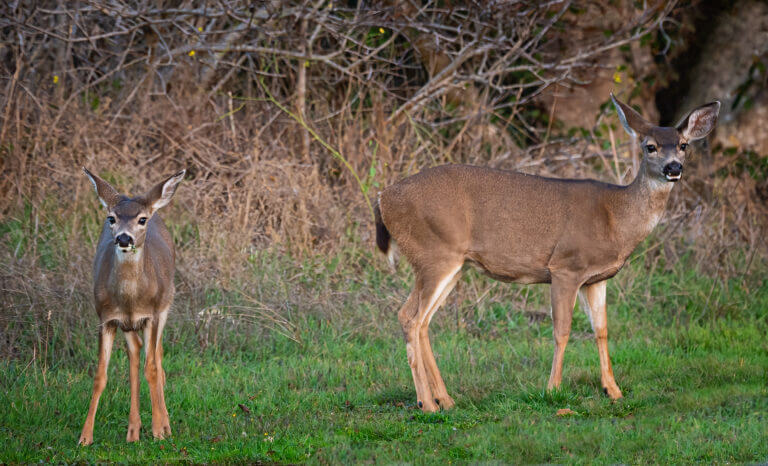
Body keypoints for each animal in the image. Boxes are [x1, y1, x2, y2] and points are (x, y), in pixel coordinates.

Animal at [79, 167, 185, 444]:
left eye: (141, 220)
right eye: (111, 218)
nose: (124, 238)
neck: (130, 299)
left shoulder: (153, 315)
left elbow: (153, 368)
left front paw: (159, 430)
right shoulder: (106, 318)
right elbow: (100, 375)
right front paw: (85, 437)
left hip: (166, 304)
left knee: (157, 357)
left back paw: (164, 424)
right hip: (127, 326)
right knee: (136, 352)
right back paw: (133, 430)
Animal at [378, 93, 720, 412]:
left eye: (683, 145)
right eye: (650, 147)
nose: (673, 168)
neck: (615, 217)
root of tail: (383, 198)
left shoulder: (596, 278)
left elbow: (602, 330)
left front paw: (613, 390)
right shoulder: (566, 266)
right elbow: (562, 330)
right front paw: (553, 389)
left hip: (453, 264)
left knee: (423, 321)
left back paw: (445, 400)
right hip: (434, 254)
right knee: (409, 317)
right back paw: (427, 403)